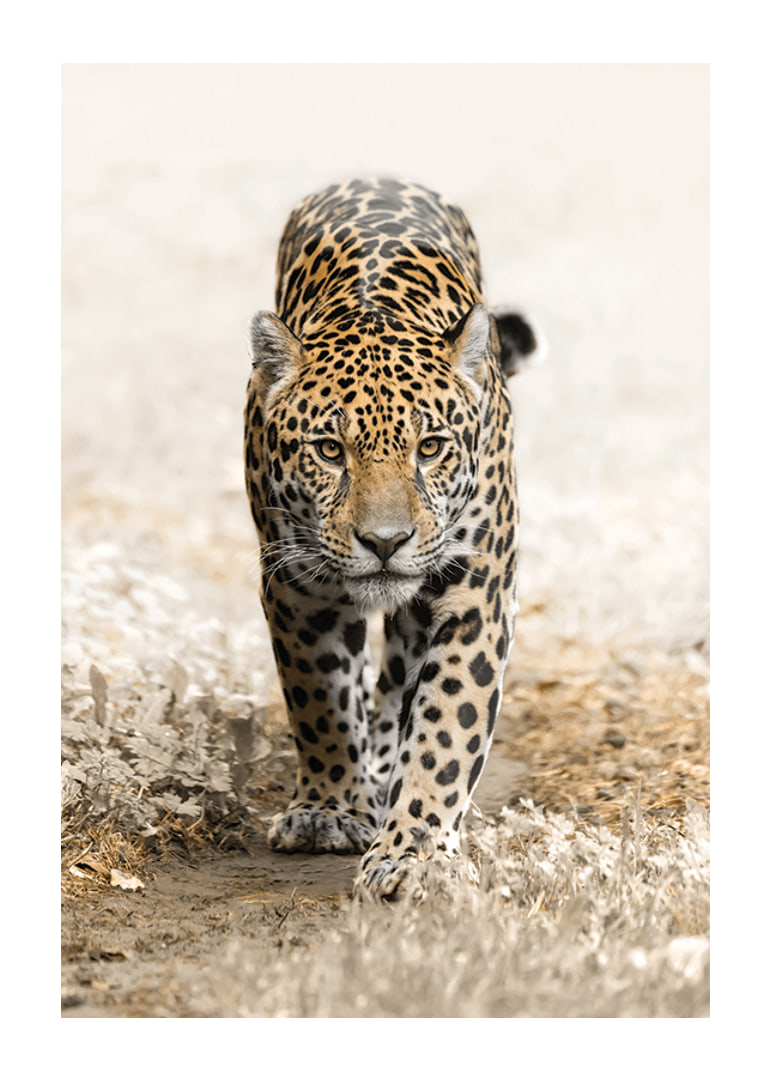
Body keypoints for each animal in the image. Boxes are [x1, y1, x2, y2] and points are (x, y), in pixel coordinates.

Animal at [244, 177, 542, 900]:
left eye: (429, 448)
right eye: (328, 450)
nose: (385, 542)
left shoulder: (474, 595)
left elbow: (446, 728)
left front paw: (415, 852)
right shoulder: (297, 588)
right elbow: (319, 699)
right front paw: (327, 811)